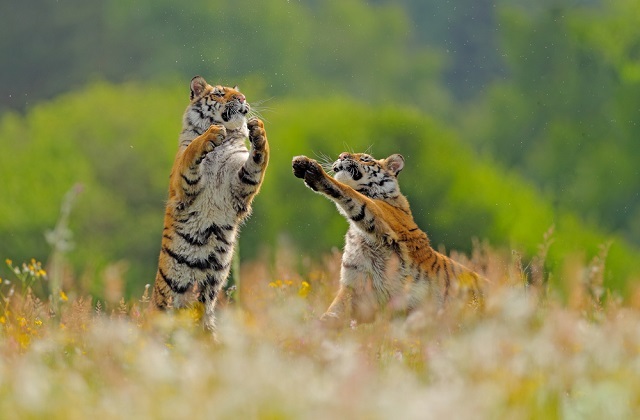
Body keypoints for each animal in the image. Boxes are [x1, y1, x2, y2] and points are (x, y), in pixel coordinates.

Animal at [151, 77, 268, 336]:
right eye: (219, 94)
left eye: (237, 92)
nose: (242, 98)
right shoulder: (184, 181)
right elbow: (194, 148)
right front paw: (212, 133)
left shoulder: (240, 183)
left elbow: (258, 162)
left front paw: (258, 130)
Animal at [292, 151, 482, 324]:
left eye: (365, 158)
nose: (342, 155)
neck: (359, 232)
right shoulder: (355, 288)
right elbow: (332, 314)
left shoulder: (377, 211)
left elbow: (349, 193)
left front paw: (309, 167)